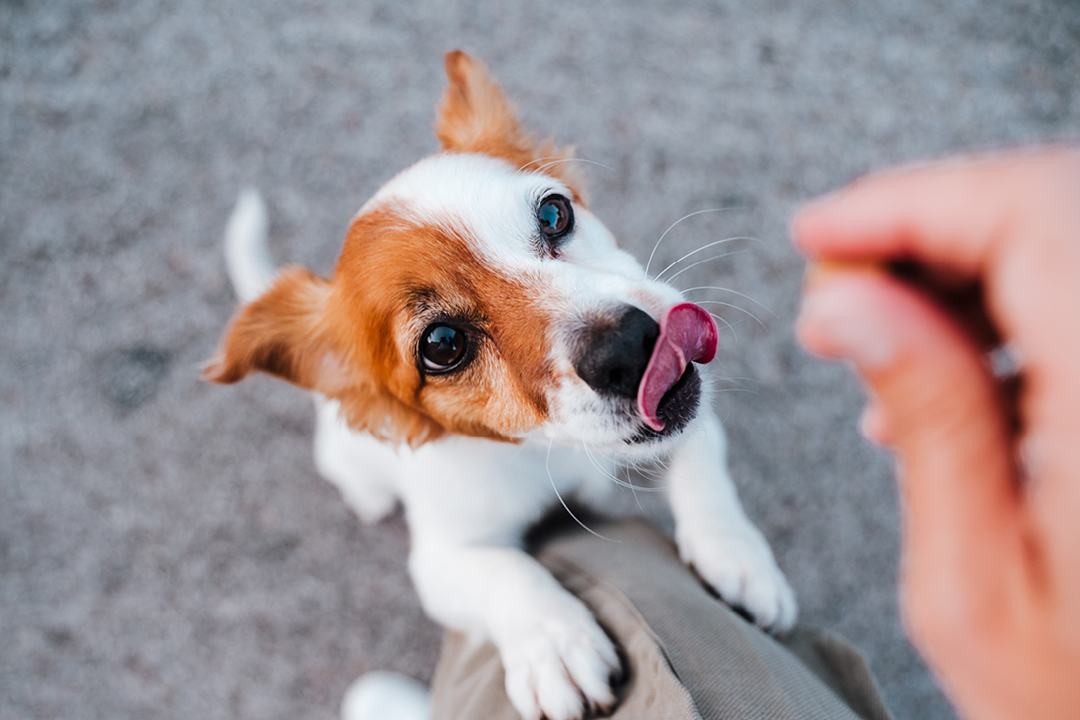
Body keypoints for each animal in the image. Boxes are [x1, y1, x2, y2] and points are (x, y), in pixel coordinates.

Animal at [204, 50, 794, 720]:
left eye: (555, 213)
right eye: (442, 345)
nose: (628, 347)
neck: (554, 452)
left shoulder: (687, 421)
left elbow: (702, 459)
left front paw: (737, 556)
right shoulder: (440, 561)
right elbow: (503, 571)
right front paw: (554, 641)